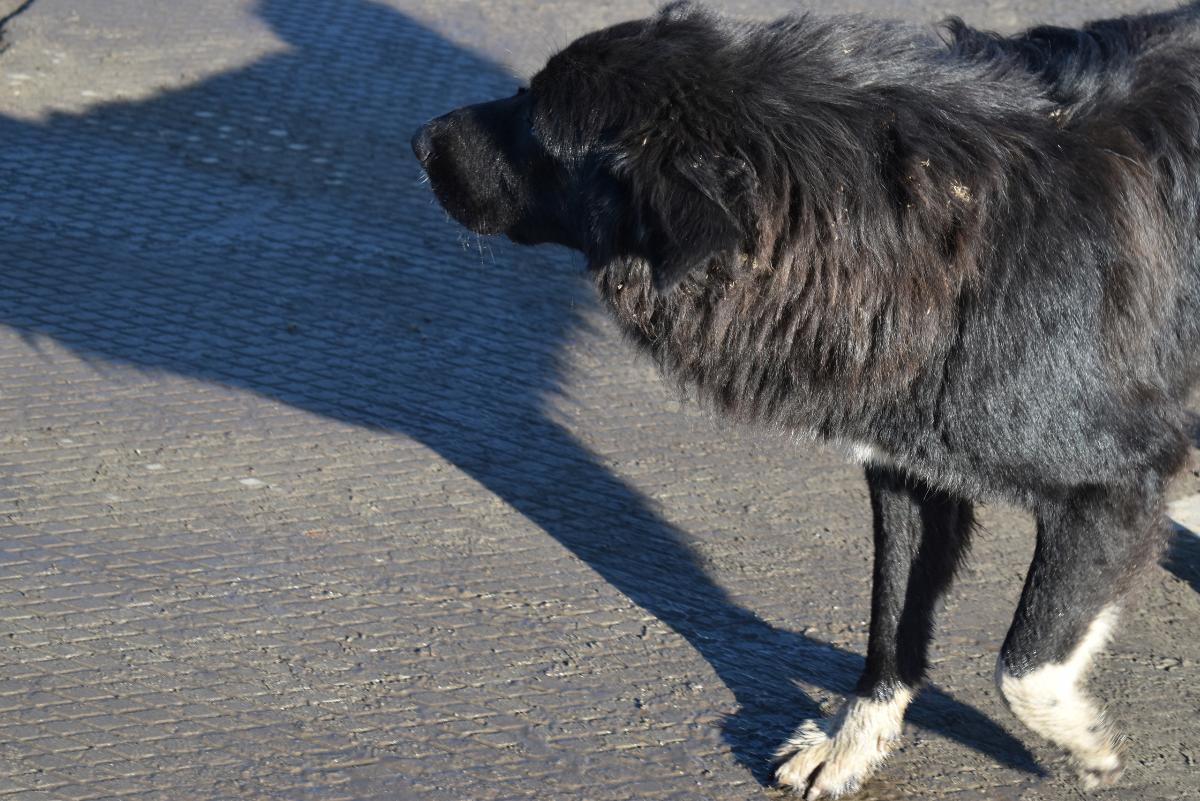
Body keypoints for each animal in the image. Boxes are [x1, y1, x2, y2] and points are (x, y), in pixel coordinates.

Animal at [415, 3, 1200, 796]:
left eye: (535, 125)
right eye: (525, 91)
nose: (419, 140)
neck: (900, 215)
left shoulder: (1114, 491)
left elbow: (1022, 663)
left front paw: (1086, 743)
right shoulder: (910, 473)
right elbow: (890, 624)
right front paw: (852, 740)